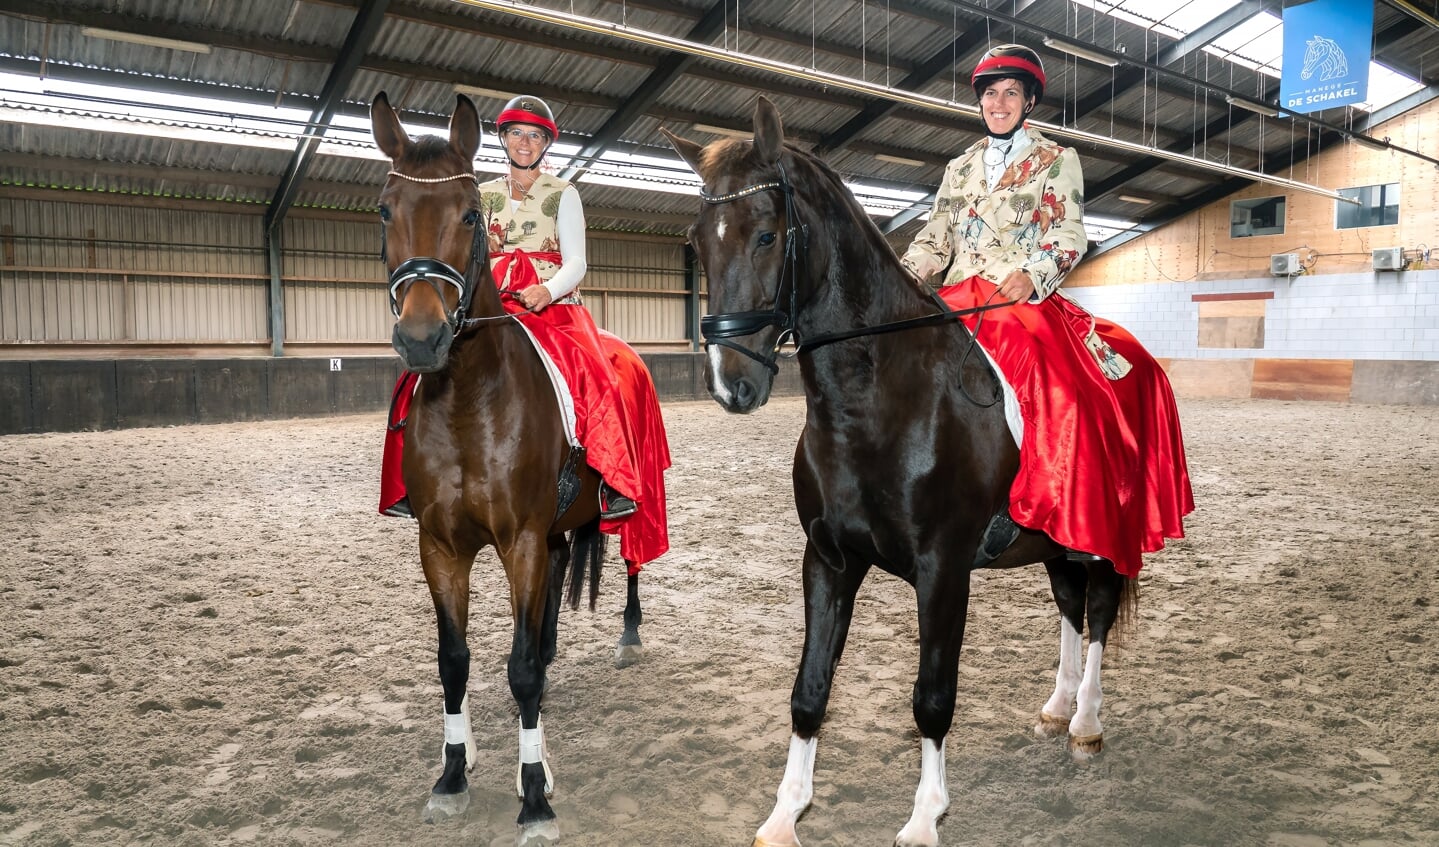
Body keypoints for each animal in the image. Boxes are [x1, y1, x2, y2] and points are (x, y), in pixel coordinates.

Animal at [368, 92, 644, 845]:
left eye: (468, 213)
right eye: (385, 210)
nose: (422, 338)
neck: (469, 399)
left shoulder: (519, 540)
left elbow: (518, 668)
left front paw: (535, 794)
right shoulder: (440, 545)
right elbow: (455, 660)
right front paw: (452, 776)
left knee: (633, 562)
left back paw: (629, 635)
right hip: (551, 534)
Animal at [661, 100, 1133, 845]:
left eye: (766, 235)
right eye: (696, 241)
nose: (731, 383)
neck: (879, 402)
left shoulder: (942, 568)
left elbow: (932, 699)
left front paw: (923, 817)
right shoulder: (828, 559)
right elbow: (809, 689)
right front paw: (785, 813)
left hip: (1101, 534)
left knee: (1100, 612)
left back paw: (1085, 721)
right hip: (1054, 541)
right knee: (1068, 604)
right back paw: (1057, 709)